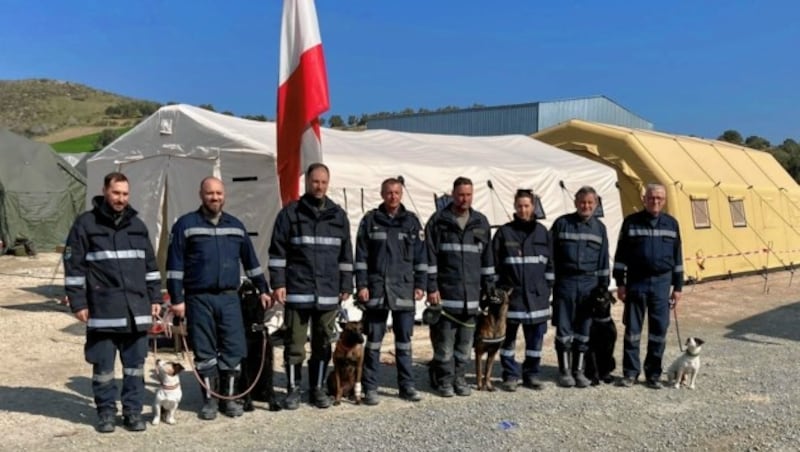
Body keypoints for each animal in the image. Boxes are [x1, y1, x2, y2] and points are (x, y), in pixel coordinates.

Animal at [236, 278, 280, 410]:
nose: (246, 280)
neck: (253, 326)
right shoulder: (245, 363)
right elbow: (247, 384)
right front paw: (248, 404)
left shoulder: (268, 360)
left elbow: (270, 386)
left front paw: (273, 403)